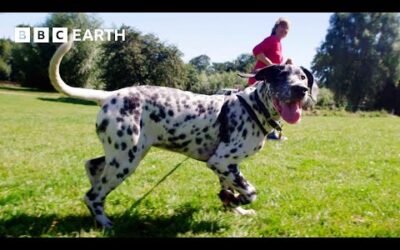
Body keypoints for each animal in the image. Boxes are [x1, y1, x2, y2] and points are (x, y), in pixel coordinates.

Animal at [49, 38, 318, 228]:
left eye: (303, 77)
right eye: (280, 76)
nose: (300, 89)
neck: (253, 107)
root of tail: (109, 96)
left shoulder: (226, 166)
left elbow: (230, 191)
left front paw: (235, 207)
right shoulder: (221, 162)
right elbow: (249, 192)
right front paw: (238, 201)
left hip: (123, 154)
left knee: (92, 167)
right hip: (126, 161)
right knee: (92, 195)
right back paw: (105, 223)